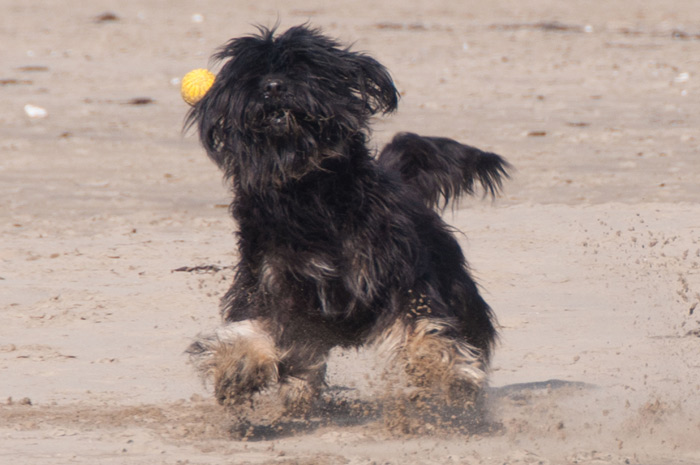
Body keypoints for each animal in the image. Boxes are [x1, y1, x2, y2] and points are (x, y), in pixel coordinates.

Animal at [183, 23, 506, 416]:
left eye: (302, 67)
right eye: (253, 75)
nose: (272, 86)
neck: (308, 192)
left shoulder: (397, 273)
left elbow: (419, 323)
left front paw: (439, 369)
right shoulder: (268, 278)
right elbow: (256, 323)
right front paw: (239, 365)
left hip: (457, 287)